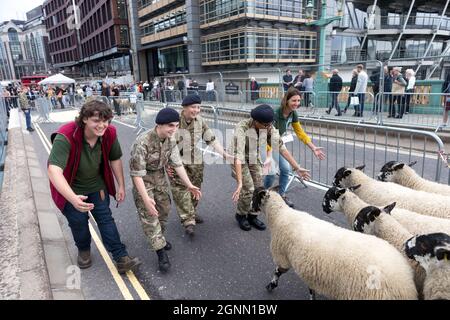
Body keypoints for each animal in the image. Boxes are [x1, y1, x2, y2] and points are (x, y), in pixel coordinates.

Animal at [251, 188, 416, 300]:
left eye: (254, 196)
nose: (250, 209)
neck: (279, 215)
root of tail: (404, 286)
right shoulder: (311, 270)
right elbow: (311, 289)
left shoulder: (282, 256)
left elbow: (277, 272)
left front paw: (271, 285)